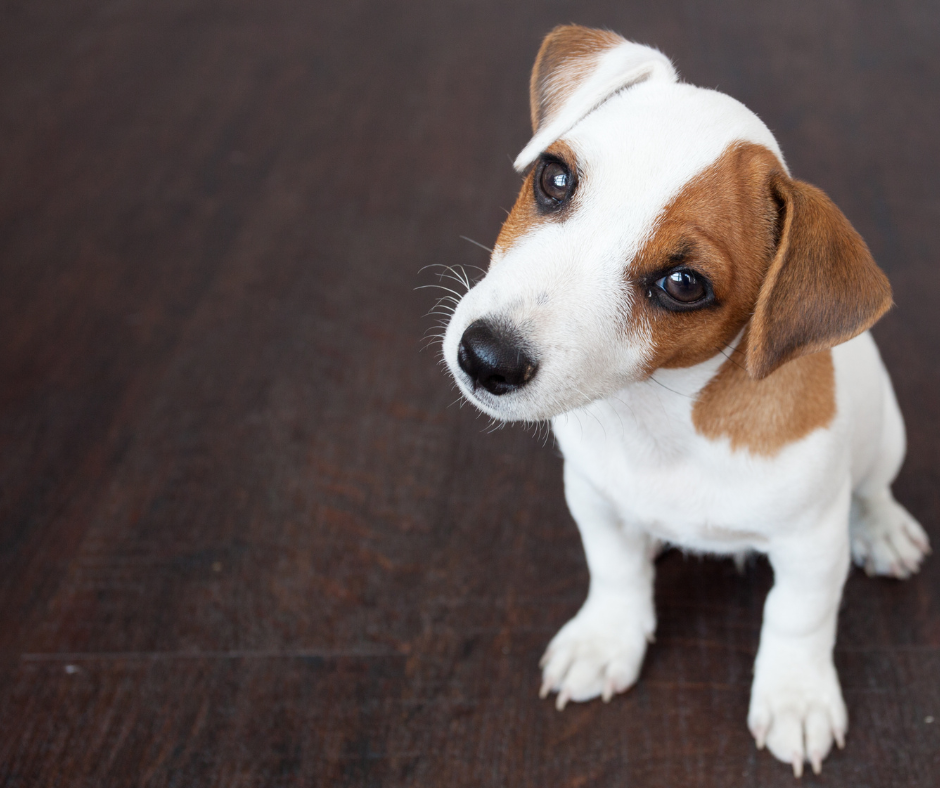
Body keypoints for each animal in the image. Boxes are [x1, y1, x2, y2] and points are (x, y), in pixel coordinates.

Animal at [440, 23, 932, 776]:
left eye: (682, 284)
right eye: (554, 179)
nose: (484, 357)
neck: (662, 418)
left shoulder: (811, 546)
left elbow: (797, 618)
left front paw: (796, 697)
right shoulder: (592, 498)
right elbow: (613, 571)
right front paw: (607, 638)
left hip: (886, 439)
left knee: (873, 487)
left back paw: (881, 528)